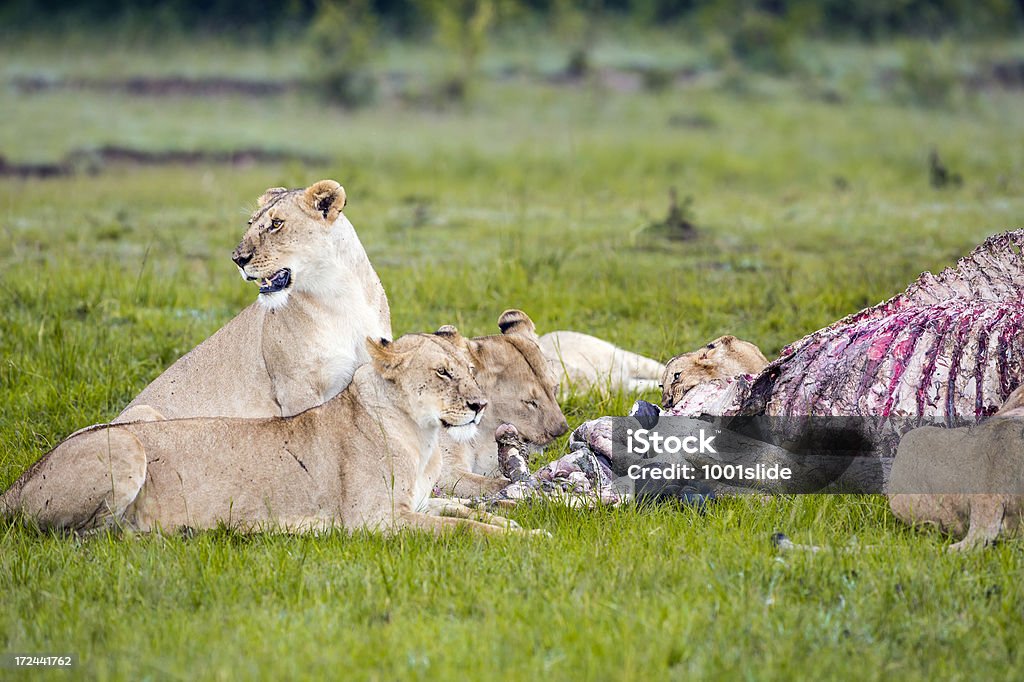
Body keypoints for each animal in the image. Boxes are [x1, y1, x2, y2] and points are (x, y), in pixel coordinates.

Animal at [6, 331, 536, 532]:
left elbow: (467, 511)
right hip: (126, 442)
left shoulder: (418, 503)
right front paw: (525, 537)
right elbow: (462, 529)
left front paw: (517, 521)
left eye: (470, 371)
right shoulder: (373, 521)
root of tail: (14, 484)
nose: (480, 405)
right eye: (443, 373)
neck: (423, 438)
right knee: (84, 536)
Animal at [117, 176, 391, 419]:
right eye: (251, 223)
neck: (338, 294)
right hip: (143, 411)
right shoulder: (296, 390)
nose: (237, 259)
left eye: (276, 224)